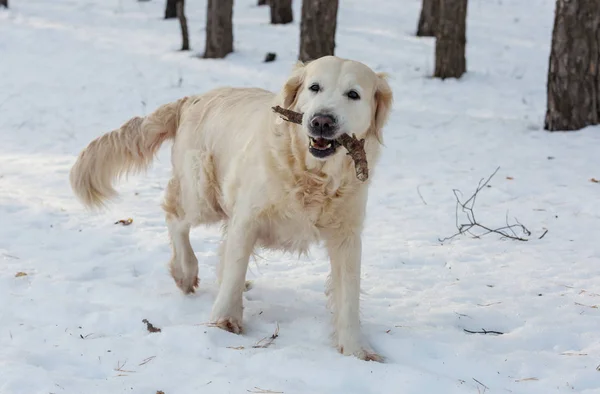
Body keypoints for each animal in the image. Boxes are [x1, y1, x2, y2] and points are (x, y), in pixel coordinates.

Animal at [70, 54, 394, 360]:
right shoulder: (248, 218)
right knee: (175, 217)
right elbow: (236, 268)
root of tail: (192, 99)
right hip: (202, 193)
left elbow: (348, 293)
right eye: (314, 87)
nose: (322, 121)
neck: (311, 175)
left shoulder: (347, 235)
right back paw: (185, 270)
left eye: (353, 94)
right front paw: (224, 320)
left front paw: (356, 349)